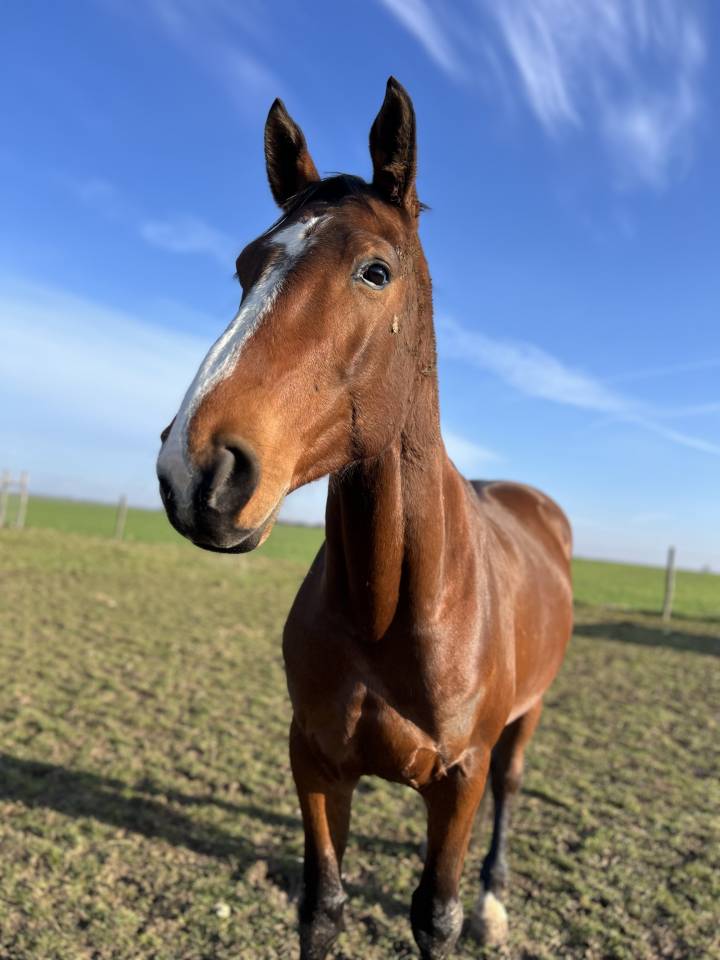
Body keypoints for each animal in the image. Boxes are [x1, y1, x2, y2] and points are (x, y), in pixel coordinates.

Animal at [157, 77, 573, 960]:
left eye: (375, 271)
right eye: (245, 267)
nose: (196, 470)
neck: (396, 604)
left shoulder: (458, 779)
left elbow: (436, 914)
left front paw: (469, 909)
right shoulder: (315, 762)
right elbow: (323, 905)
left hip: (523, 723)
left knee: (511, 791)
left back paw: (495, 901)